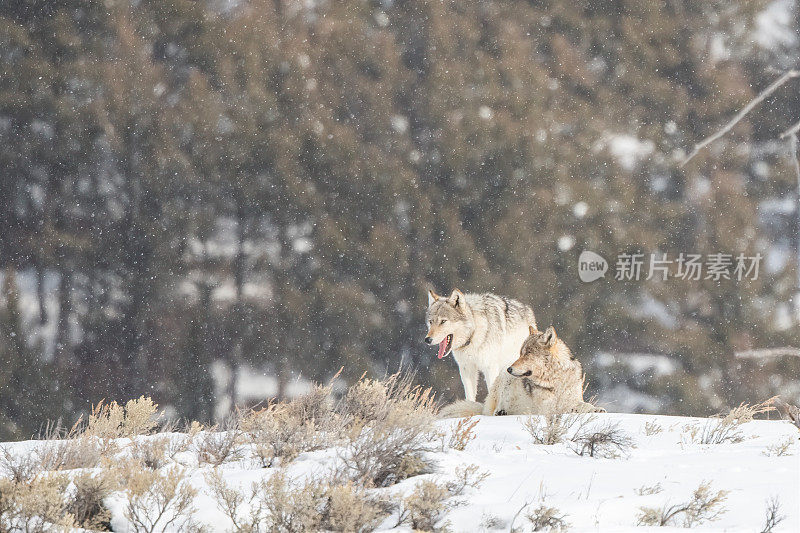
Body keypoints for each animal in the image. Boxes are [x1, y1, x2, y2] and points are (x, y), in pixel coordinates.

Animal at [440, 326, 604, 418]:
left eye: (527, 353)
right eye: (520, 353)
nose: (510, 369)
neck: (556, 381)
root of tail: (483, 407)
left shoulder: (574, 397)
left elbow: (582, 404)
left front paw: (596, 409)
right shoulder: (547, 408)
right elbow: (570, 408)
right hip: (505, 381)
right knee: (494, 412)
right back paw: (501, 413)